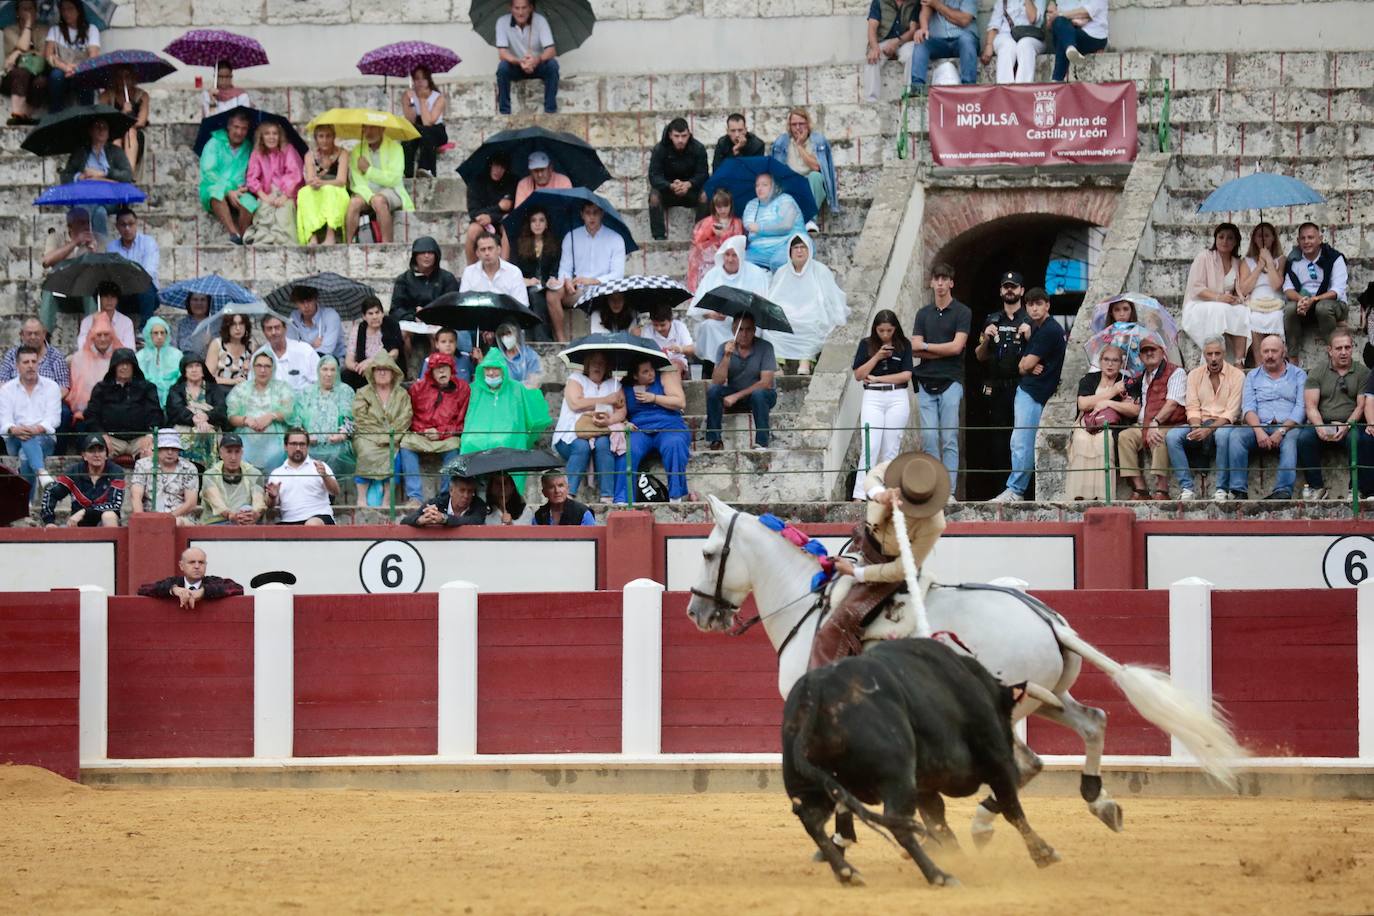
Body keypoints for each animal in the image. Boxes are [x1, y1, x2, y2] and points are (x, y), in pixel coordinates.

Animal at [687, 497, 1247, 840]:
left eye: (709, 552)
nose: (696, 612)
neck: (808, 600)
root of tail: (1050, 620)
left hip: (1006, 706)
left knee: (1025, 761)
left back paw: (984, 823)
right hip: (1047, 698)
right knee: (1091, 723)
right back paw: (1096, 802)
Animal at [780, 637, 1055, 889]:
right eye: (1007, 715)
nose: (1023, 761)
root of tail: (816, 689)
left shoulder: (925, 787)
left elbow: (939, 824)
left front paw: (963, 862)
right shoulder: (996, 759)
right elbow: (1010, 807)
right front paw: (1043, 853)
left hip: (809, 784)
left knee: (811, 820)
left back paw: (848, 873)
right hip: (897, 776)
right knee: (897, 822)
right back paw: (938, 875)